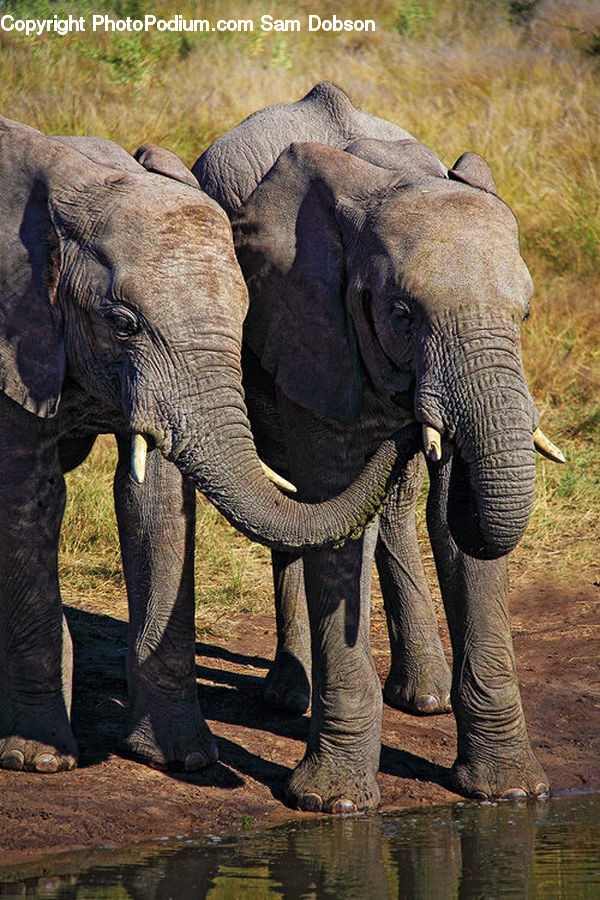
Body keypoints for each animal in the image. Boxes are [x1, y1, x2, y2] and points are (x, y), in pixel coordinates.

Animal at [0, 116, 406, 776]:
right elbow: (27, 501)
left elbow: (154, 502)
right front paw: (39, 761)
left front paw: (183, 758)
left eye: (246, 313)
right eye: (122, 323)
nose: (408, 420)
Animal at [186, 82, 565, 811]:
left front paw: (509, 794)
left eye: (526, 314)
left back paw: (424, 698)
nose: (411, 410)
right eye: (401, 314)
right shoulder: (309, 320)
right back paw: (289, 696)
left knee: (389, 506)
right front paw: (331, 804)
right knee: (302, 501)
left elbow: (456, 528)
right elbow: (333, 510)